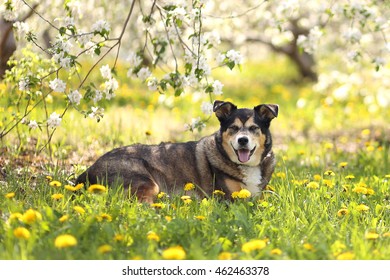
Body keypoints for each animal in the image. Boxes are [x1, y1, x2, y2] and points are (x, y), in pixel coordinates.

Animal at [76, 100, 278, 203]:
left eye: (253, 128)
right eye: (234, 128)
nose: (242, 140)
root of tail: (88, 170)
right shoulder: (230, 199)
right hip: (147, 183)